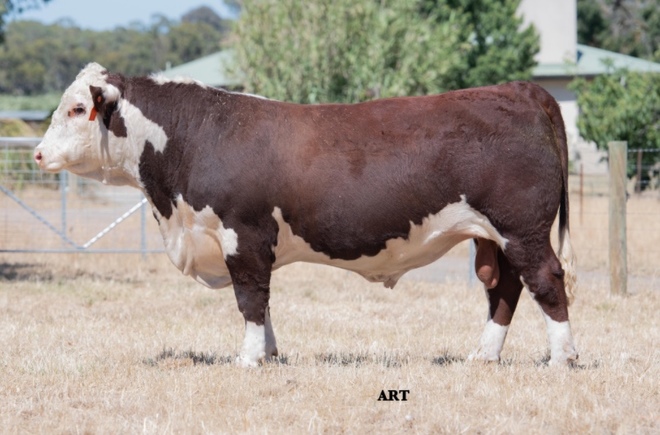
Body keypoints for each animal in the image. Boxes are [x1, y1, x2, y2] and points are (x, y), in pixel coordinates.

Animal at [34, 63, 578, 367]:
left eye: (77, 109)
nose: (38, 154)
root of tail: (517, 89)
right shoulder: (250, 243)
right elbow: (264, 302)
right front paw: (271, 354)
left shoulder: (243, 234)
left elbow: (250, 299)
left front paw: (249, 359)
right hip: (494, 237)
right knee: (504, 289)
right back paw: (484, 356)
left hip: (523, 230)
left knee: (546, 280)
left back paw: (562, 358)